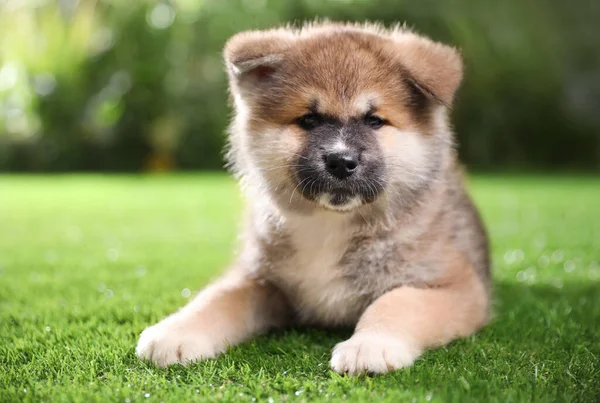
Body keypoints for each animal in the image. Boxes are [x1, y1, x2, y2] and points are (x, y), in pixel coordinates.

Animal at [137, 21, 492, 376]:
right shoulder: (261, 279)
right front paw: (175, 331)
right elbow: (218, 297)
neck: (330, 225)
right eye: (309, 119)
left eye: (374, 120)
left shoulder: (456, 286)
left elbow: (397, 302)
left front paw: (371, 344)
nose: (341, 161)